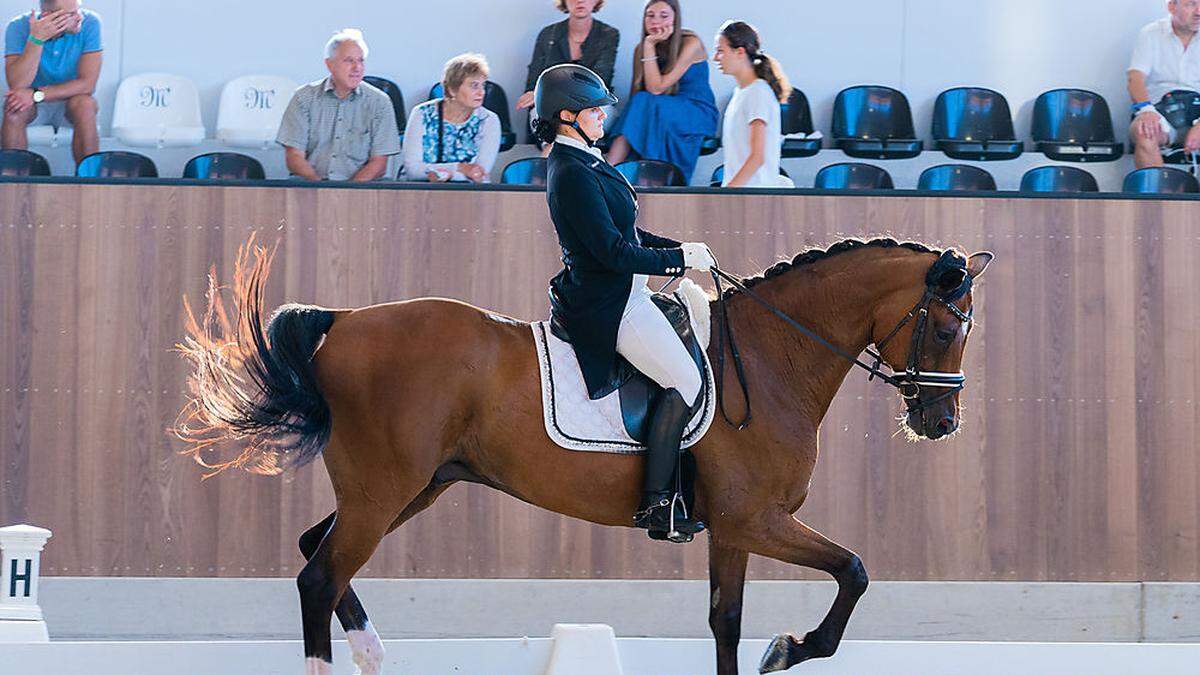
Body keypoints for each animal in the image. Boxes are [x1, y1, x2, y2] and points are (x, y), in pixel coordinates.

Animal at [171, 233, 993, 672]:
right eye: (946, 326)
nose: (942, 419)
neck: (770, 356)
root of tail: (343, 320)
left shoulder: (731, 531)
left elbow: (726, 622)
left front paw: (770, 647)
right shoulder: (755, 520)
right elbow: (854, 570)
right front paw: (791, 647)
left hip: (413, 487)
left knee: (318, 552)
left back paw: (373, 651)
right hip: (382, 492)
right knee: (318, 574)